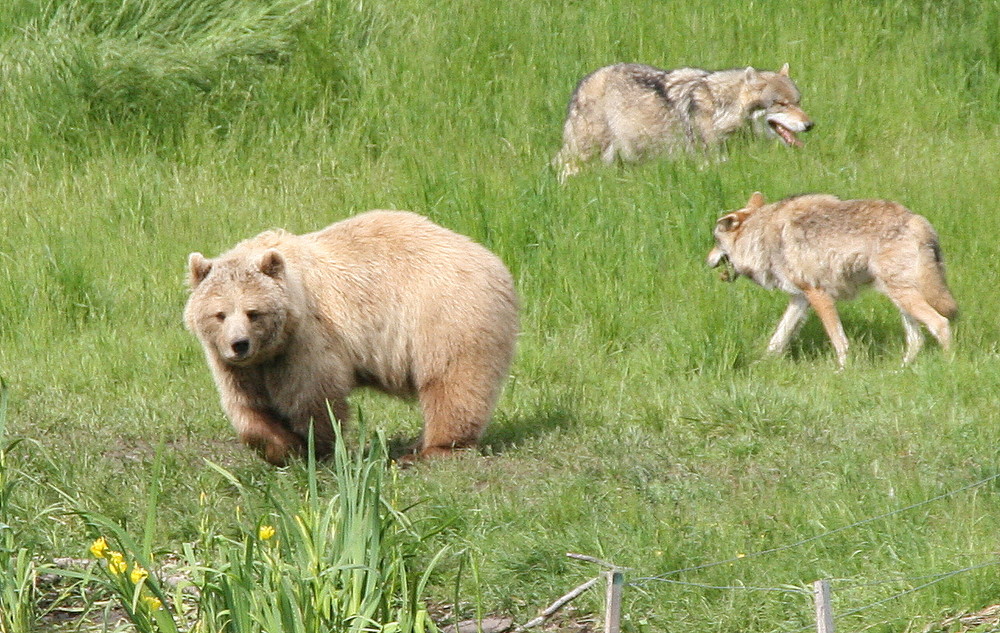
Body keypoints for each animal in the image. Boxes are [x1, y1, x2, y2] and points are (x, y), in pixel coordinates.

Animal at [183, 210, 520, 462]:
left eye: (253, 312)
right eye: (220, 314)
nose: (239, 344)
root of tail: (495, 261)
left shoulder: (307, 340)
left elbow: (312, 396)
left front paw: (314, 446)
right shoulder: (235, 364)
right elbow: (248, 406)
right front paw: (280, 446)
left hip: (446, 315)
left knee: (453, 382)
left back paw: (435, 448)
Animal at [556, 63, 812, 180]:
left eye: (798, 102)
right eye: (782, 104)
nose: (810, 125)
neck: (720, 111)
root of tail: (585, 81)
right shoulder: (706, 164)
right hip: (585, 154)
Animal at [708, 191, 956, 366]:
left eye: (715, 240)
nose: (706, 260)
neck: (760, 235)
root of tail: (917, 220)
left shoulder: (819, 295)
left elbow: (839, 340)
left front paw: (843, 370)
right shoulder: (800, 299)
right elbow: (778, 338)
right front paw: (762, 364)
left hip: (903, 296)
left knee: (940, 324)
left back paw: (947, 366)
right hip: (900, 300)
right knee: (917, 340)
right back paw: (900, 370)